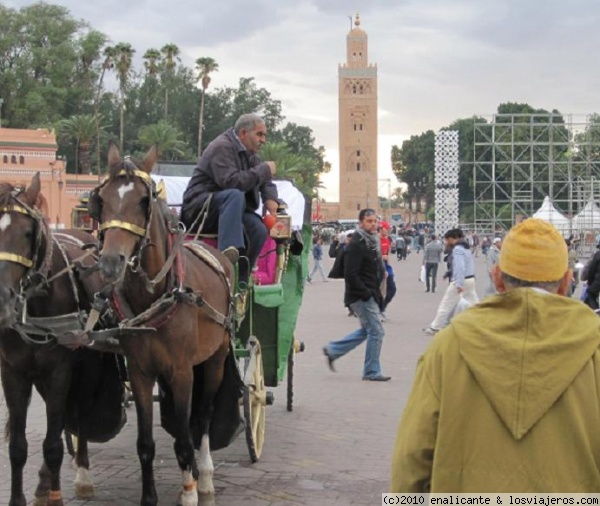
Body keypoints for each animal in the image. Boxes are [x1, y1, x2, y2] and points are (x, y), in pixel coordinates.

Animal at [0, 174, 125, 506]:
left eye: (28, 232)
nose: (2, 298)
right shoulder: (13, 373)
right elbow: (18, 447)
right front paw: (19, 497)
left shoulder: (60, 371)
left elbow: (54, 443)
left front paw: (57, 495)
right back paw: (45, 482)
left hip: (85, 365)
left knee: (78, 413)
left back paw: (80, 472)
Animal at [90, 143, 238, 506]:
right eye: (100, 200)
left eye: (144, 201)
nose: (110, 262)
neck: (155, 295)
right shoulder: (141, 372)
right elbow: (145, 444)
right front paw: (149, 497)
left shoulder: (182, 371)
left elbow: (186, 438)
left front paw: (189, 492)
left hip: (215, 357)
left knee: (203, 415)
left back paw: (204, 477)